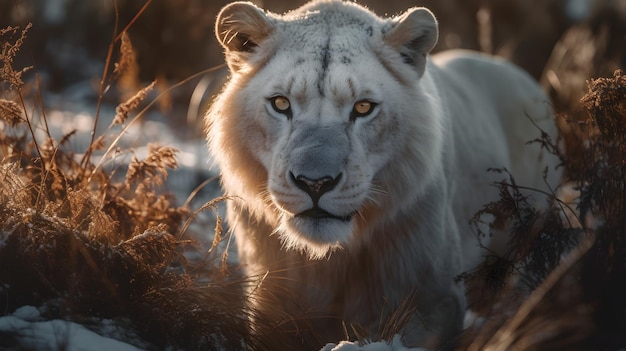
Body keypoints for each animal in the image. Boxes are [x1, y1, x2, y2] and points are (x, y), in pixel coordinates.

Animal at [206, 1, 560, 350]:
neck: (330, 262)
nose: (314, 183)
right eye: (281, 104)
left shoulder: (432, 303)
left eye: (363, 108)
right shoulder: (271, 306)